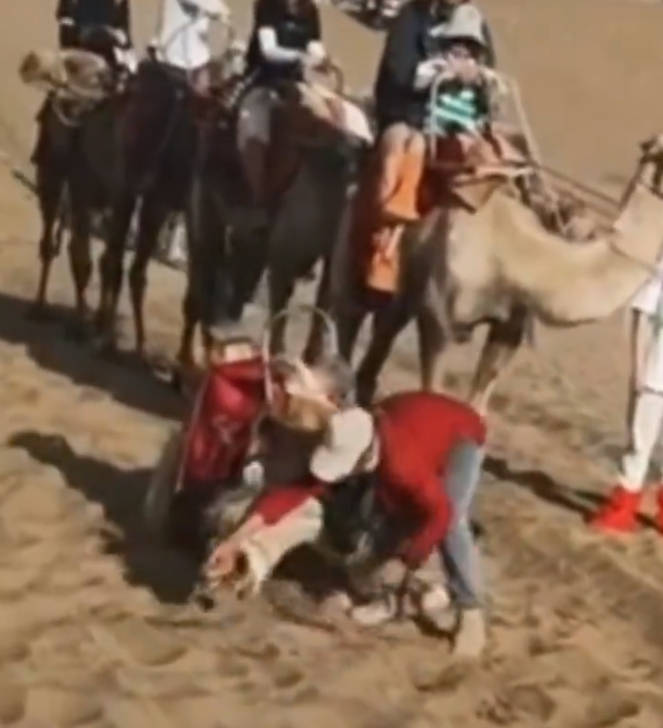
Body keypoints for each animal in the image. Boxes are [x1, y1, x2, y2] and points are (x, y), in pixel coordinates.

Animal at [328, 136, 663, 413]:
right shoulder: (438, 319)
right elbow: (432, 391)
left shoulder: (509, 326)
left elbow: (479, 401)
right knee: (350, 318)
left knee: (381, 333)